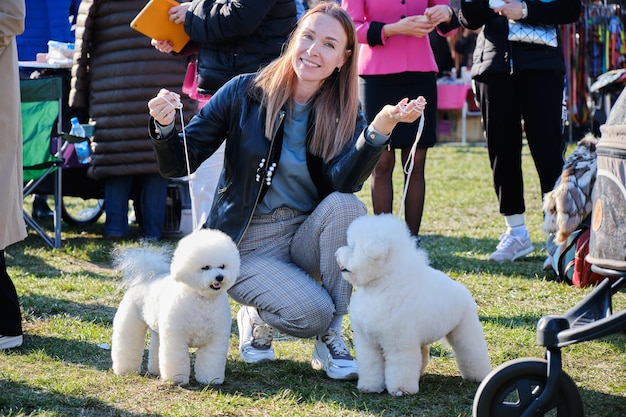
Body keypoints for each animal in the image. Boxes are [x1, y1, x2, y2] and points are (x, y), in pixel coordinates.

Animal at [111, 228, 240, 384]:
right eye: (205, 267)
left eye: (222, 266)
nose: (219, 277)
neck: (202, 299)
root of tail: (149, 276)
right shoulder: (176, 338)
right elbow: (176, 360)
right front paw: (176, 380)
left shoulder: (215, 341)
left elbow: (210, 362)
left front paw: (210, 380)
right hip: (131, 320)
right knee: (127, 345)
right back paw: (125, 370)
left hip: (158, 329)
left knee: (156, 347)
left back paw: (156, 371)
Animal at [334, 214, 490, 396]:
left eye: (352, 247)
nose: (336, 254)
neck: (381, 285)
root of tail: (463, 291)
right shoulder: (367, 342)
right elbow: (371, 365)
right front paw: (370, 387)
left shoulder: (399, 343)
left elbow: (400, 367)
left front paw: (401, 390)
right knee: (423, 353)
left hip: (464, 329)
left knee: (472, 352)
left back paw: (478, 376)